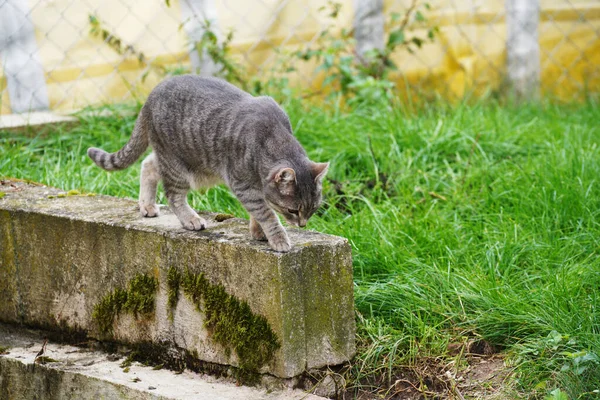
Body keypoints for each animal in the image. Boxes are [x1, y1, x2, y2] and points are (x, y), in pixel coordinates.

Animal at [88, 74, 328, 253]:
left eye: (313, 209)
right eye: (293, 210)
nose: (303, 224)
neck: (272, 137)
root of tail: (150, 97)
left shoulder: (255, 186)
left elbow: (259, 211)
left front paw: (258, 232)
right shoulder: (242, 184)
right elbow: (266, 213)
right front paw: (277, 238)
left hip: (180, 160)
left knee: (148, 164)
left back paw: (146, 205)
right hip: (178, 166)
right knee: (173, 195)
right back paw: (190, 219)